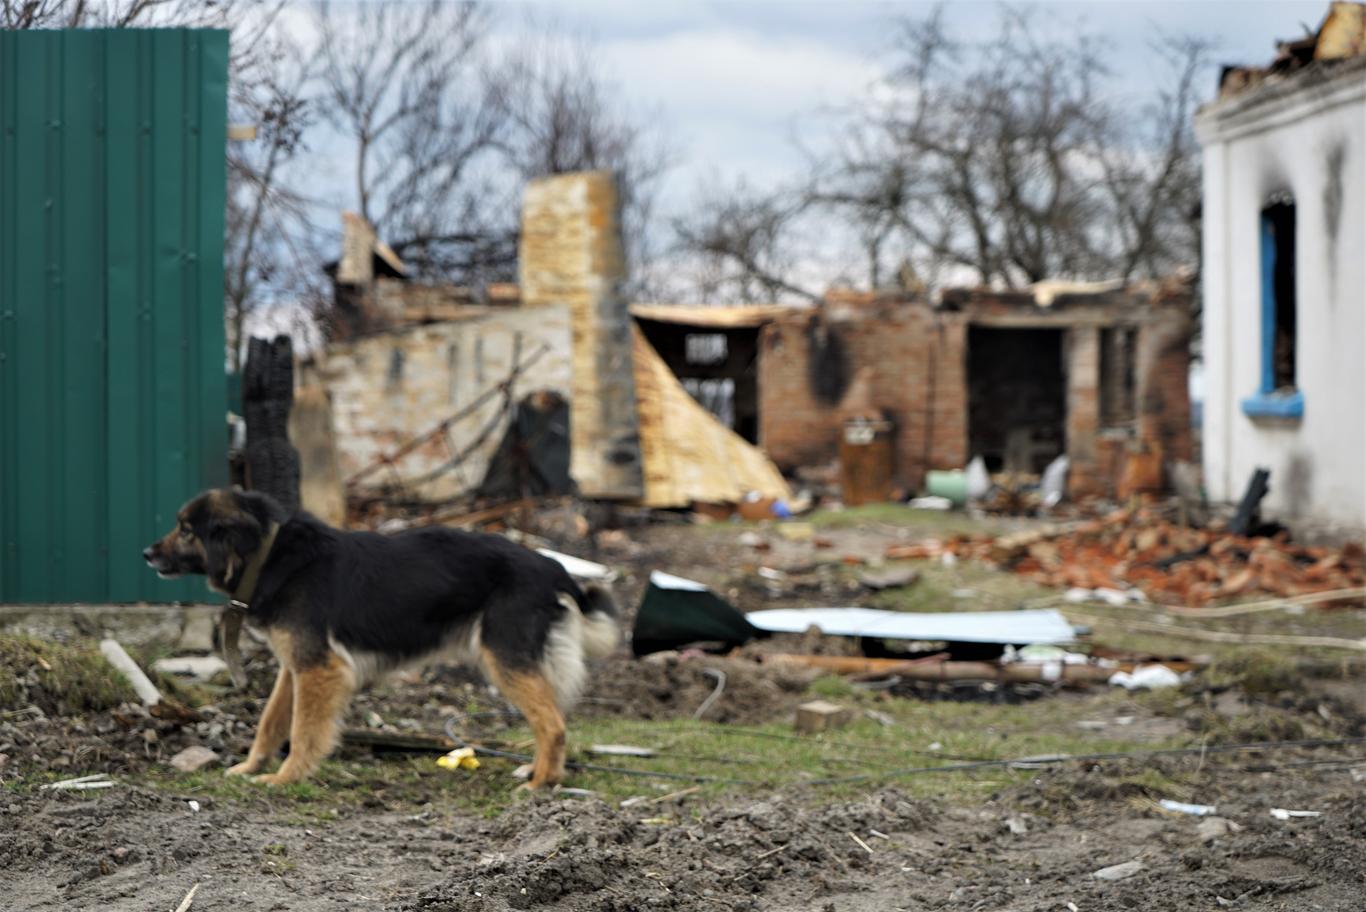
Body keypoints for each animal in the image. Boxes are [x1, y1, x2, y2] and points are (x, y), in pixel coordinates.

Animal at [145, 488, 620, 786]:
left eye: (186, 530)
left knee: (553, 724)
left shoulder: (320, 669)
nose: (146, 554)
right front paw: (248, 769)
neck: (269, 553)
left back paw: (541, 784)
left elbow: (302, 731)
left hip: (504, 658)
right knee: (549, 718)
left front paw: (286, 778)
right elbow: (270, 723)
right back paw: (534, 771)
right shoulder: (294, 665)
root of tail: (553, 566)